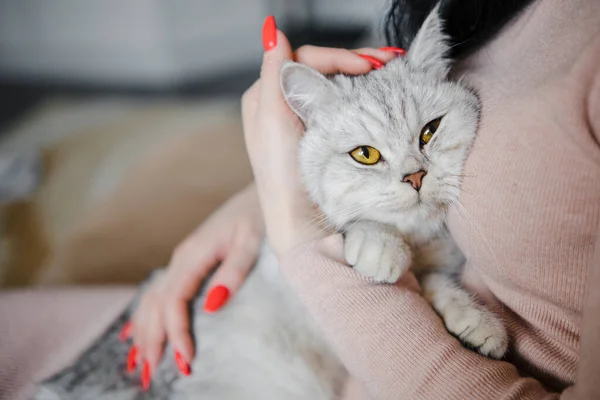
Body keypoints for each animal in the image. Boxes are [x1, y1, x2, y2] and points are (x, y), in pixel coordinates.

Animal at [35, 6, 506, 400]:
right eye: (366, 155)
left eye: (430, 131)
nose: (415, 177)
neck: (419, 241)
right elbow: (354, 229)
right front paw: (380, 248)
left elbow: (436, 284)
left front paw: (477, 321)